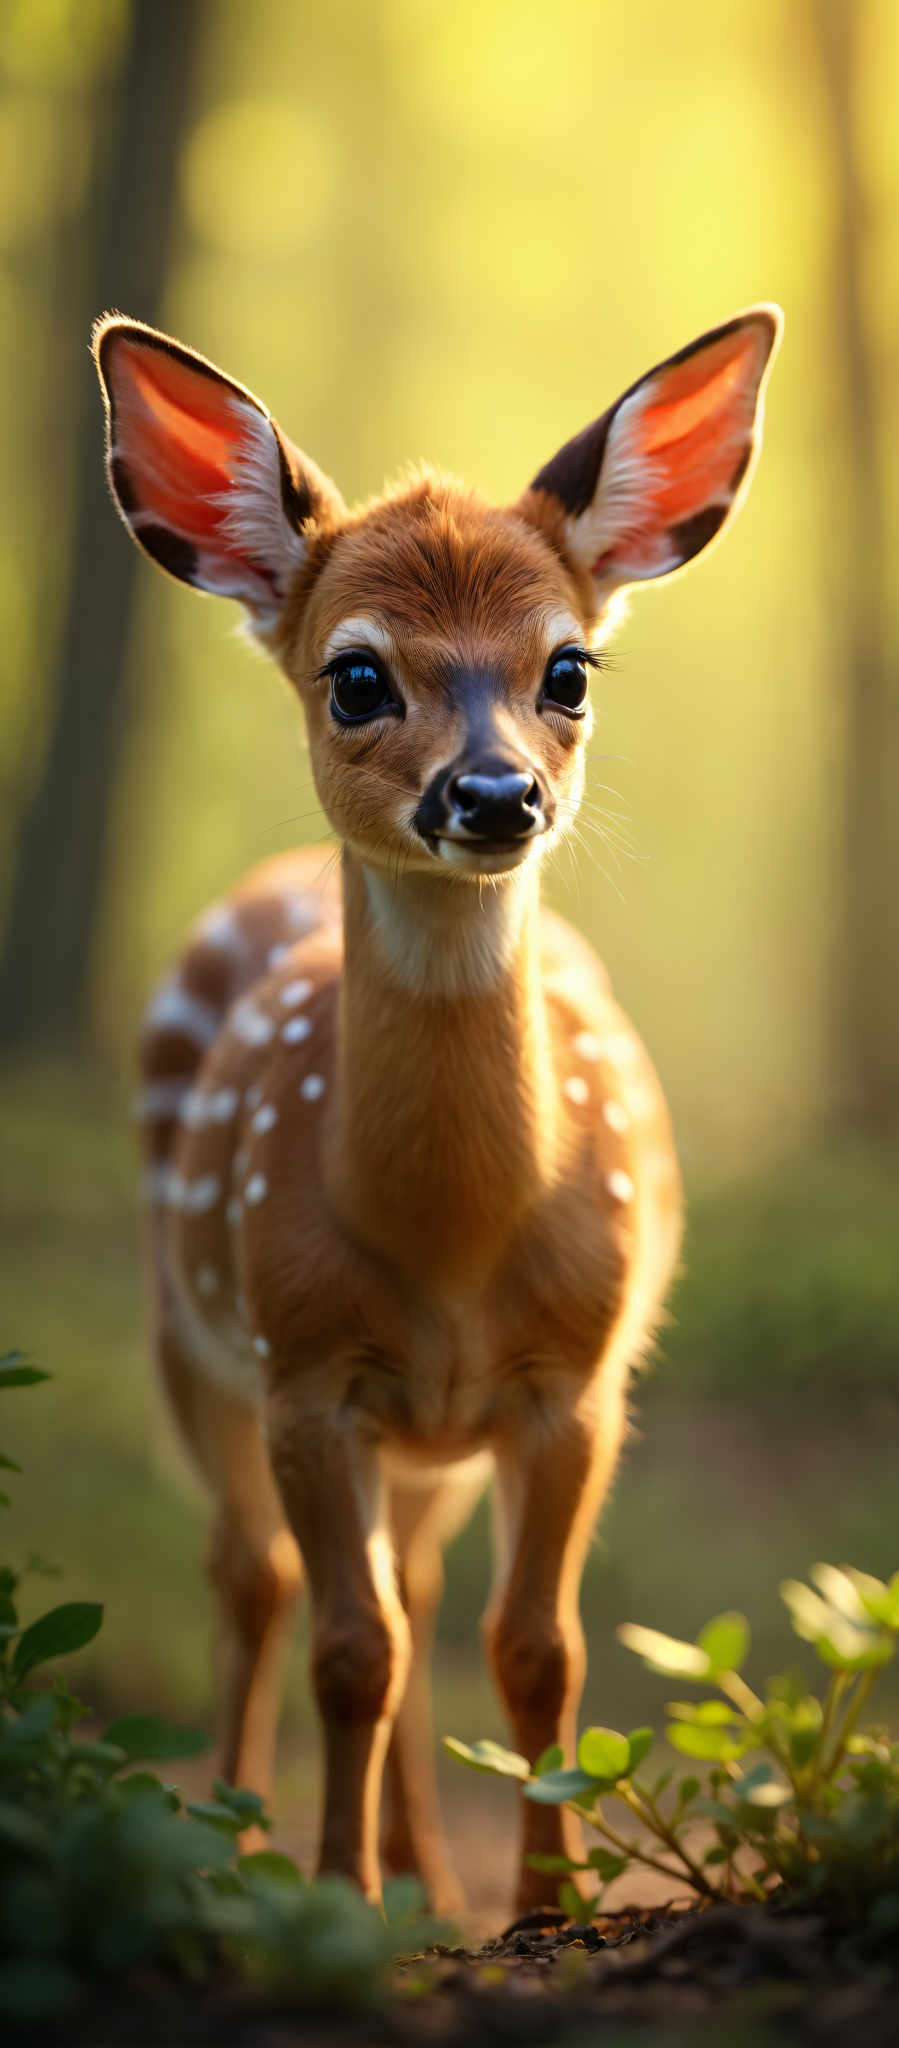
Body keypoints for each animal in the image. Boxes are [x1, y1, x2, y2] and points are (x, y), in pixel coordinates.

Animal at [93, 299, 782, 1900]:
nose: (493, 794)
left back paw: (429, 1873)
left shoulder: (573, 1378)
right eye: (356, 674)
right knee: (257, 1580)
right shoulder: (303, 1367)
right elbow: (351, 1649)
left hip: (425, 1444)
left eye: (567, 668)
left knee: (404, 1582)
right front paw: (331, 1900)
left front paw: (542, 1900)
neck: (453, 1243)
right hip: (184, 1332)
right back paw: (244, 1842)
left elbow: (532, 1646)